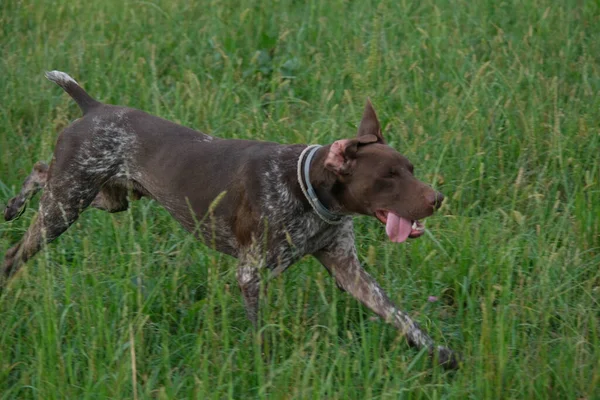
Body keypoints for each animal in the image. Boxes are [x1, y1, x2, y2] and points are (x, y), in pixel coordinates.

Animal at [2, 72, 458, 368]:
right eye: (388, 177)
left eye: (410, 169)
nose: (437, 199)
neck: (306, 191)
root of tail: (93, 107)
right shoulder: (250, 274)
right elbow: (258, 331)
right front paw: (264, 369)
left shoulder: (349, 270)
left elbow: (401, 317)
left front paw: (441, 354)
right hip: (66, 205)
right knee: (17, 247)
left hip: (108, 198)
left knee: (41, 170)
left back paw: (15, 203)